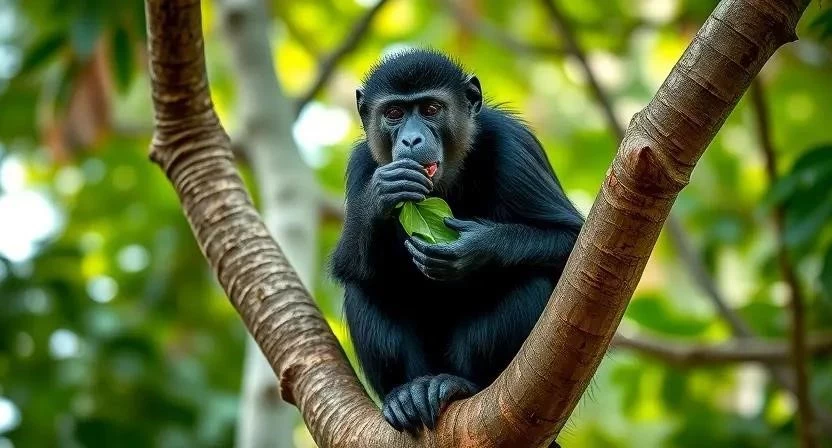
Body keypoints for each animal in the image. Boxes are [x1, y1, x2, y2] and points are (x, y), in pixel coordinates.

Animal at [329, 48, 583, 443]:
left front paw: (474, 248)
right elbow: (347, 266)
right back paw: (407, 394)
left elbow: (573, 241)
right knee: (365, 287)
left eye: (431, 108)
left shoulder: (513, 145)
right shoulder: (362, 165)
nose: (411, 140)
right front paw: (380, 195)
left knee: (531, 279)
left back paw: (460, 385)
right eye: (394, 113)